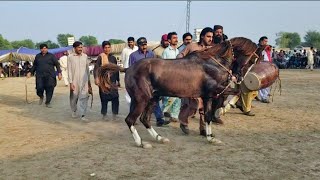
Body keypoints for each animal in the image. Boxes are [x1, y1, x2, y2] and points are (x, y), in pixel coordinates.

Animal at [97, 37, 258, 148]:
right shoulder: (213, 92)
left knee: (144, 119)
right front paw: (224, 111)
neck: (212, 63)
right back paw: (141, 143)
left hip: (153, 98)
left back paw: (159, 138)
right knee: (130, 120)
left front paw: (211, 137)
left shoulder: (208, 96)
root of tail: (128, 68)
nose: (240, 77)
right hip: (142, 99)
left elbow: (207, 116)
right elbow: (236, 92)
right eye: (252, 60)